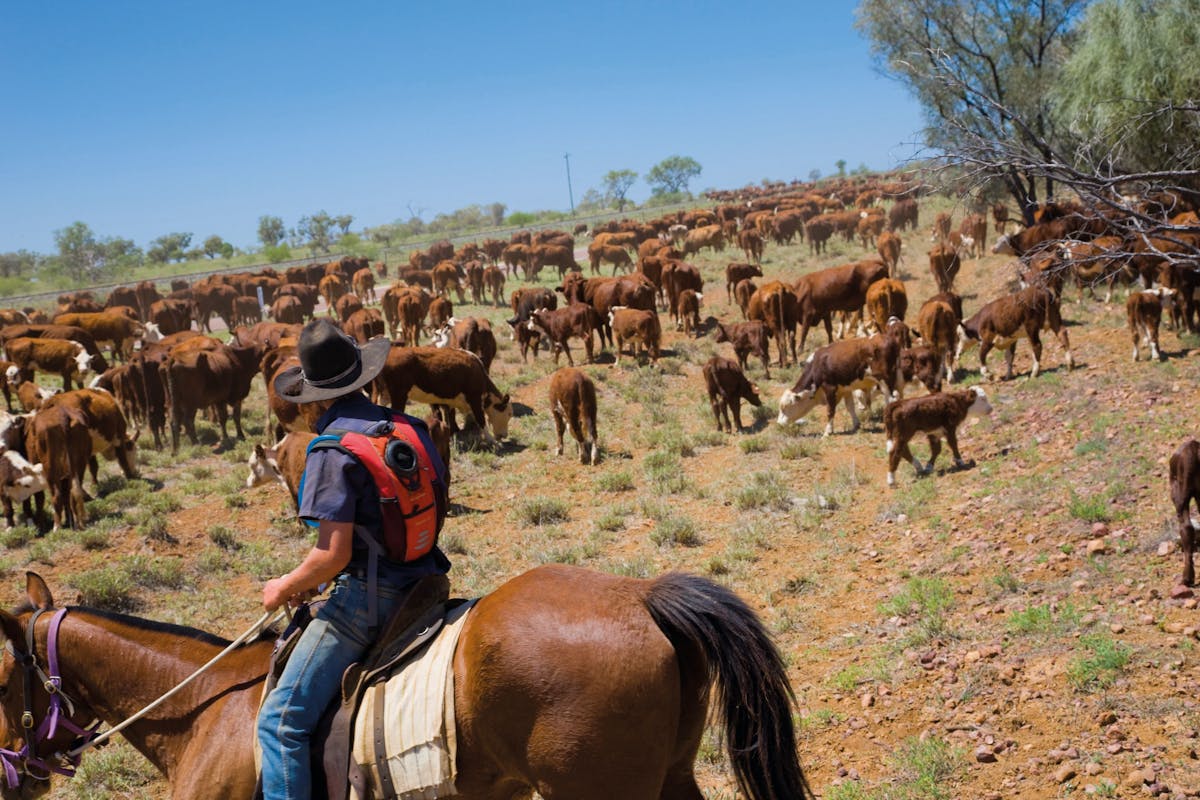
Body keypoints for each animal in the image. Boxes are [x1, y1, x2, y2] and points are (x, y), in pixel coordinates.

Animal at [372, 345, 508, 443]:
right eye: (508, 414)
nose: (505, 435)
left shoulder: (444, 399)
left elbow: (447, 416)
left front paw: (452, 434)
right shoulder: (474, 397)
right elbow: (481, 419)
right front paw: (492, 441)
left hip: (384, 394)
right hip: (399, 395)